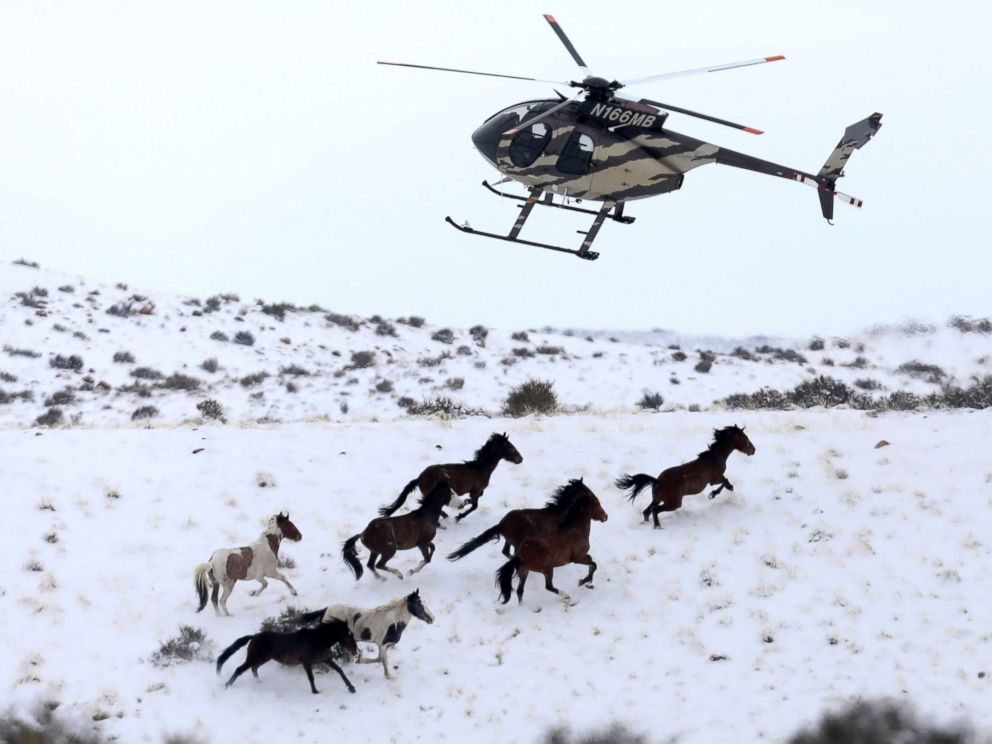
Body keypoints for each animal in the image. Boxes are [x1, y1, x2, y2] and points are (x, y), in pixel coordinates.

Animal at [216, 618, 358, 695]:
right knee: (240, 669)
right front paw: (315, 691)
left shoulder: (326, 659)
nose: (355, 651)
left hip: (263, 659)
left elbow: (340, 670)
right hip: (254, 658)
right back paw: (227, 686)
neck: (317, 640)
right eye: (348, 635)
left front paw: (351, 688)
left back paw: (259, 683)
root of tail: (254, 637)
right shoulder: (306, 662)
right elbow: (311, 677)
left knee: (254, 669)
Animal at [296, 589, 434, 679]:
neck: (393, 622)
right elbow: (382, 660)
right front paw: (389, 677)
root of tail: (326, 610)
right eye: (418, 604)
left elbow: (379, 659)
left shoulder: (385, 646)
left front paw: (359, 660)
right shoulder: (382, 645)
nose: (432, 619)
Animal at [377, 432, 523, 522]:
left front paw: (463, 504)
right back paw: (445, 516)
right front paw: (459, 516)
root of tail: (419, 479)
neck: (480, 469)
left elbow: (473, 501)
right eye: (510, 447)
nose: (520, 459)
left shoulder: (477, 492)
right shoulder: (476, 491)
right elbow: (474, 505)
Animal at [447, 478, 593, 561]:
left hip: (510, 541)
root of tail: (502, 524)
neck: (557, 513)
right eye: (586, 490)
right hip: (518, 543)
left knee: (505, 552)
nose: (593, 497)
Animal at [616, 425, 756, 528]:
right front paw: (716, 493)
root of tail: (657, 481)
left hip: (658, 499)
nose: (753, 450)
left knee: (647, 511)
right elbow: (725, 481)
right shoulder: (714, 479)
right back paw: (658, 527)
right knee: (654, 510)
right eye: (745, 438)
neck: (714, 457)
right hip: (674, 503)